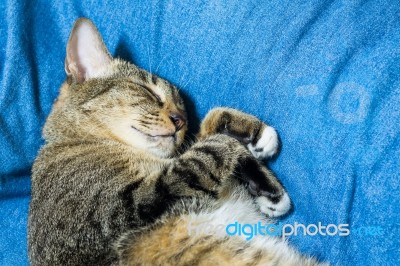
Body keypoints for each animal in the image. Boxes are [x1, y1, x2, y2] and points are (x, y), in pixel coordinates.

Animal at [27, 17, 324, 264]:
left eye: (182, 106)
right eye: (147, 91)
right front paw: (242, 145)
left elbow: (209, 124)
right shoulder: (128, 207)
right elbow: (205, 151)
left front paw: (263, 172)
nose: (180, 119)